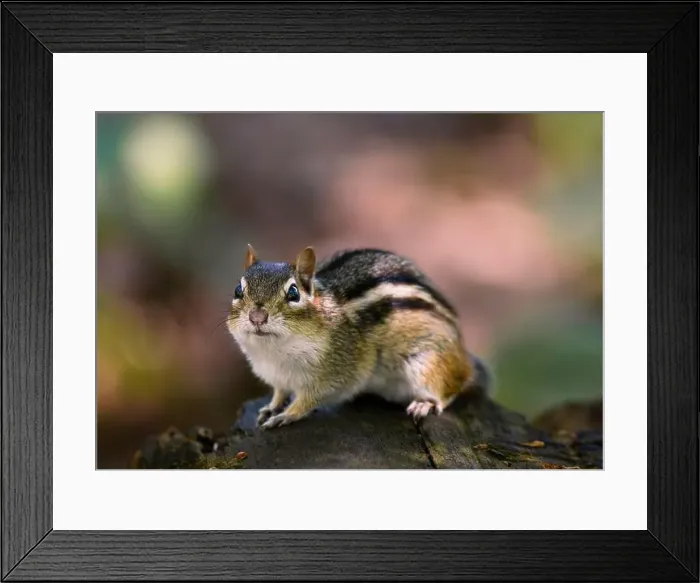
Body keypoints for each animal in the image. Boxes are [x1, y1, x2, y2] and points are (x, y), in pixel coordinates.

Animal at [227, 244, 492, 430]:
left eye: (293, 293)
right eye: (238, 290)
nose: (257, 317)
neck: (275, 353)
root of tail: (462, 350)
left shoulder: (335, 372)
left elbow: (309, 399)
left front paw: (286, 414)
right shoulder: (277, 377)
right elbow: (280, 392)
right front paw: (272, 406)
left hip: (428, 363)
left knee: (452, 386)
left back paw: (426, 402)